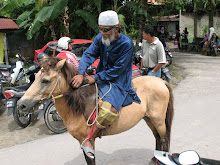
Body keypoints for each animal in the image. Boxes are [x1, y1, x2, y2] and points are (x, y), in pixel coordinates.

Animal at [17, 57, 174, 164]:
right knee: (158, 137)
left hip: (158, 119)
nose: (21, 104)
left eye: (45, 80)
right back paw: (155, 158)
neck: (78, 105)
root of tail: (161, 82)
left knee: (164, 139)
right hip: (149, 119)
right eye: (35, 78)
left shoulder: (87, 140)